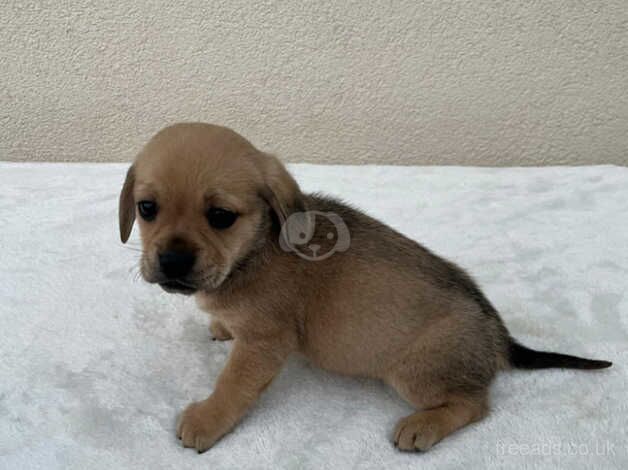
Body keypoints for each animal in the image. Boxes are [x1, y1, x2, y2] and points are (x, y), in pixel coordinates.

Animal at [118, 123, 608, 454]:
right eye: (147, 208)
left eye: (221, 216)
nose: (172, 262)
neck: (253, 252)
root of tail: (499, 337)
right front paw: (221, 326)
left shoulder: (264, 343)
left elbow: (232, 385)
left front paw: (207, 420)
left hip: (415, 373)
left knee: (475, 404)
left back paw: (423, 427)